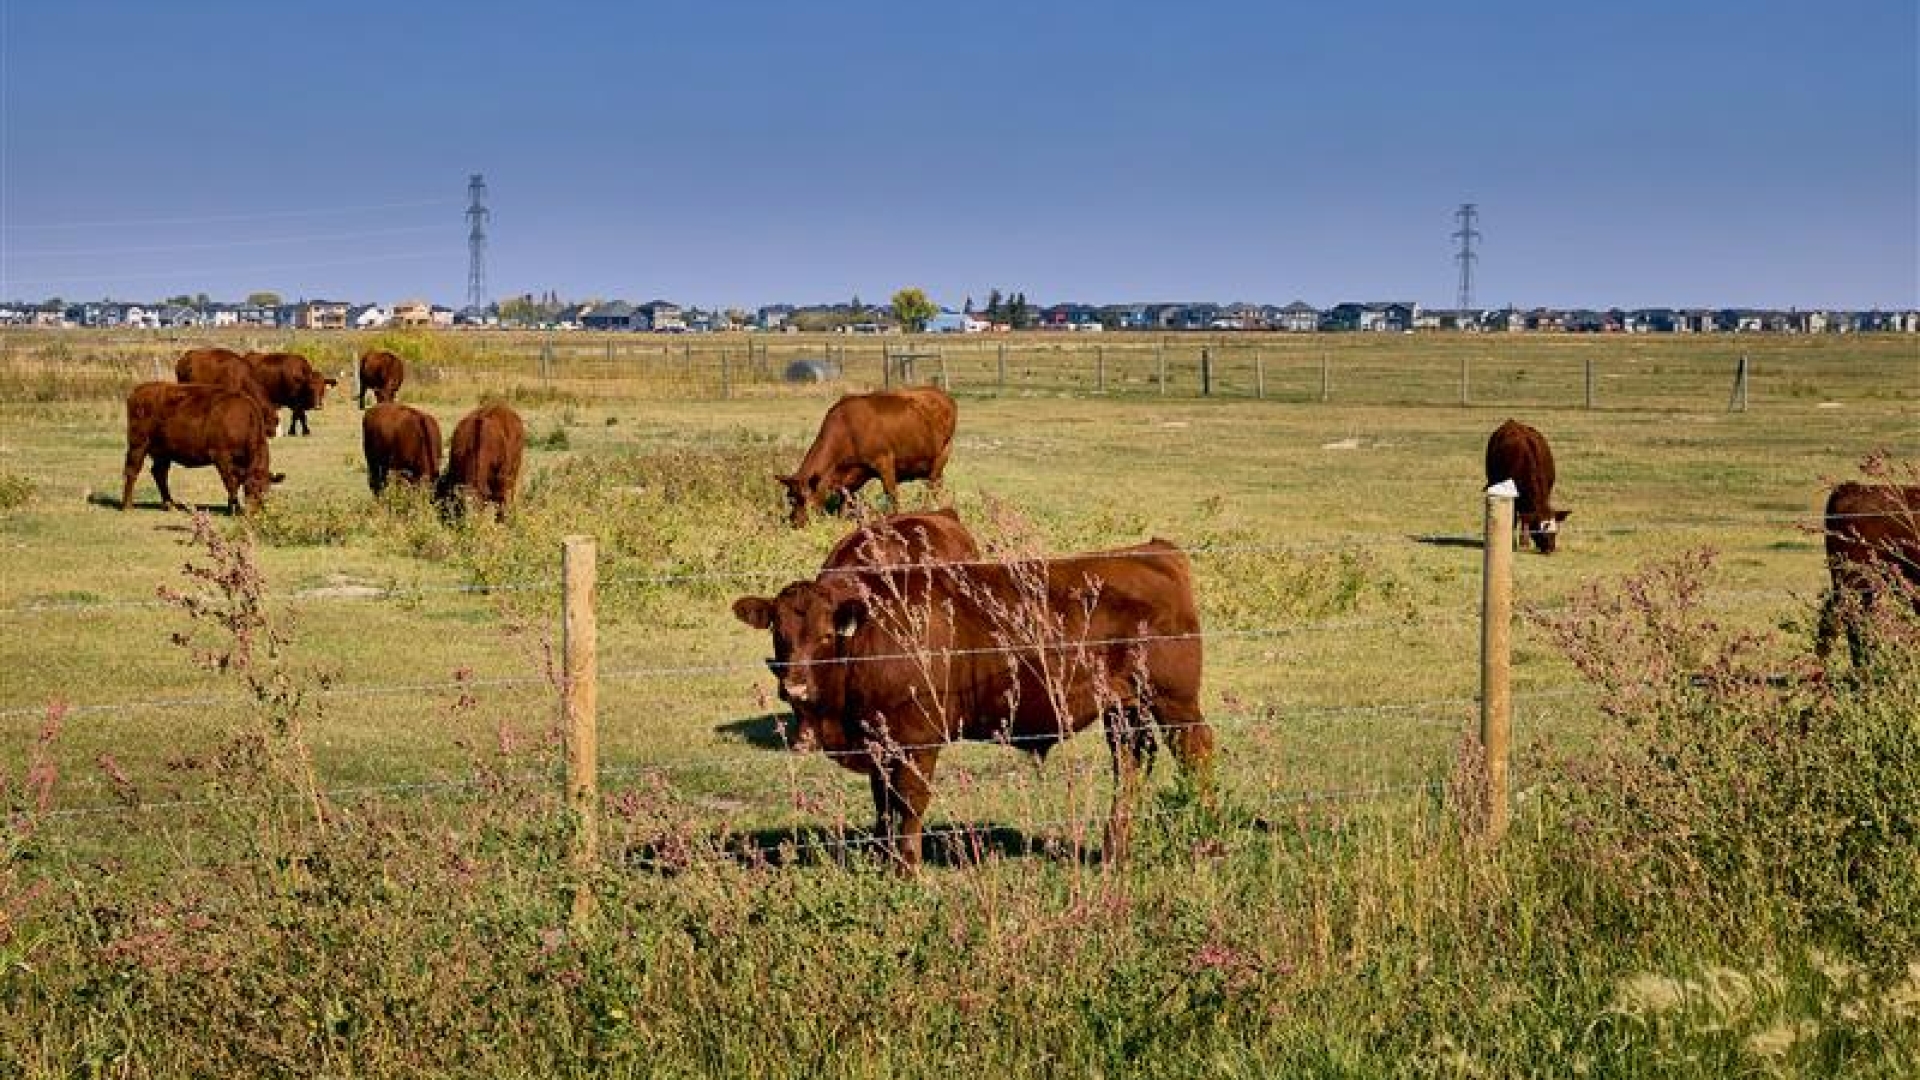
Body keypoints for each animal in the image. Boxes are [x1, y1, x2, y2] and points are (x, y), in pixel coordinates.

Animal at [121, 382, 271, 514]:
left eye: (265, 490)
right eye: (250, 487)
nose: (253, 512)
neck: (243, 420)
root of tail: (139, 390)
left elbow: (235, 482)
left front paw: (231, 507)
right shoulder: (221, 457)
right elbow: (231, 482)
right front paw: (234, 509)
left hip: (163, 452)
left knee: (159, 473)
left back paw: (170, 505)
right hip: (138, 445)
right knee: (132, 471)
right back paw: (128, 506)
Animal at [733, 536, 1215, 870]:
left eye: (825, 635)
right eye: (779, 632)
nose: (794, 687)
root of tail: (1152, 550)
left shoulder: (916, 742)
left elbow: (907, 807)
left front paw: (906, 870)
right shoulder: (878, 744)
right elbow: (884, 807)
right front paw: (885, 863)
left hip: (1173, 701)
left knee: (1196, 751)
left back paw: (1203, 827)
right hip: (1124, 708)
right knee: (1131, 764)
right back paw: (1115, 851)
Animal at [777, 386, 957, 528]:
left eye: (804, 498)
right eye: (790, 499)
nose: (796, 524)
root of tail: (942, 394)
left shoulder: (884, 461)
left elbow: (892, 496)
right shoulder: (851, 476)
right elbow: (845, 503)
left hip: (943, 454)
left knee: (932, 487)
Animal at [1485, 419, 1570, 553]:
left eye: (1555, 531)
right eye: (1539, 531)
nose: (1550, 549)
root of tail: (1511, 422)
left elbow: (1525, 518)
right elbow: (1516, 518)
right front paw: (1515, 542)